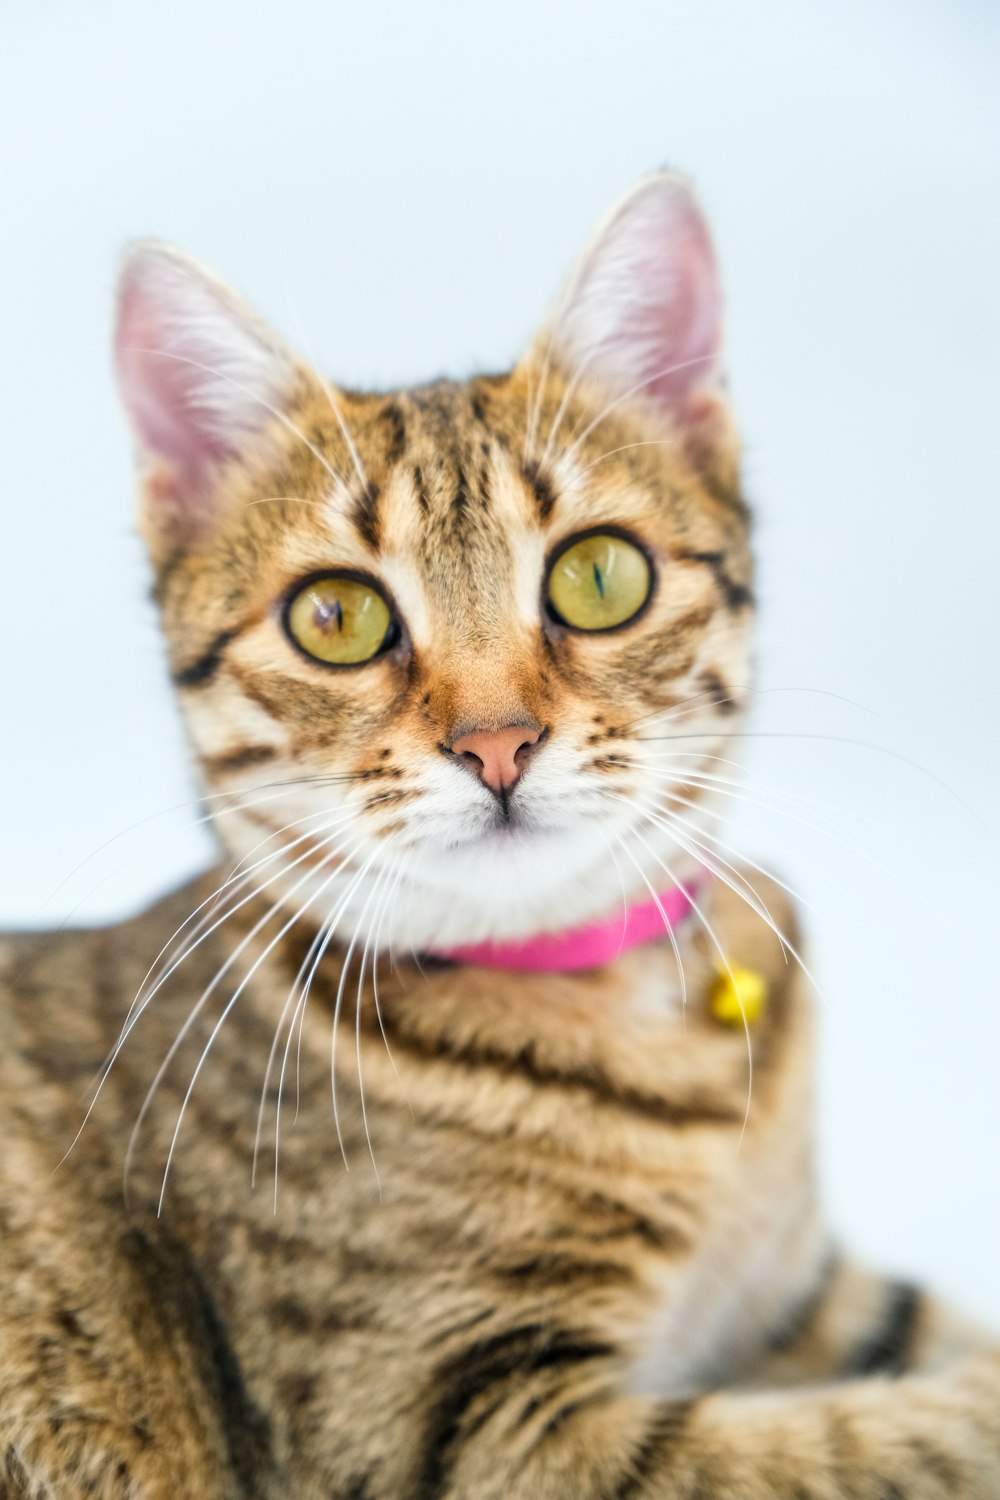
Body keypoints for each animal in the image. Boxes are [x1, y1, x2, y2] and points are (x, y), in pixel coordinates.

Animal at [1, 175, 1000, 1500]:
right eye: (334, 615)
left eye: (598, 577)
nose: (497, 744)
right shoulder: (457, 1425)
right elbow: (870, 1442)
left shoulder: (799, 1289)